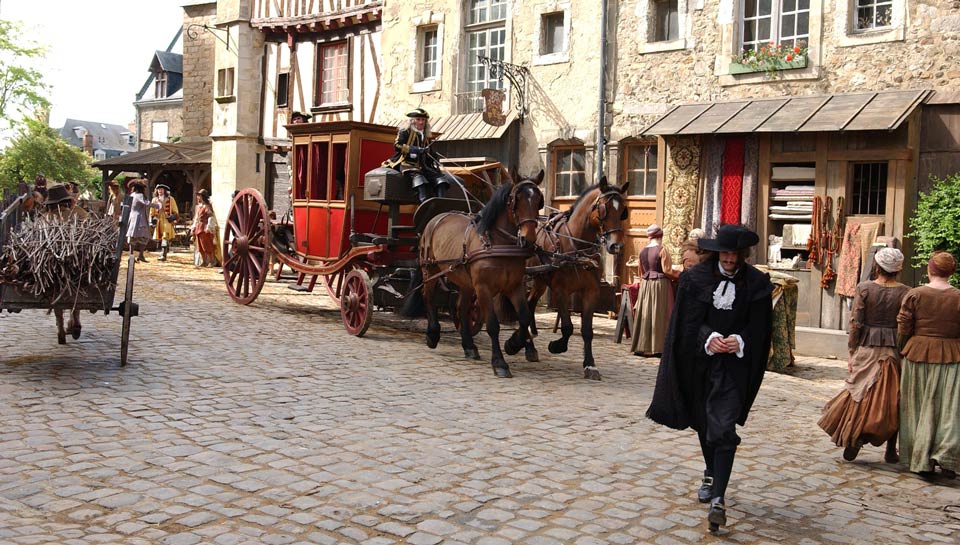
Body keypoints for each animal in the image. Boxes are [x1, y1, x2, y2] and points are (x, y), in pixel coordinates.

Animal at [418, 172, 544, 376]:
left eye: (539, 200)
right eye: (515, 200)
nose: (529, 239)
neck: (497, 244)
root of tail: (438, 216)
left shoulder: (515, 285)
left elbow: (524, 316)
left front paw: (513, 344)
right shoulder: (483, 288)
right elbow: (493, 325)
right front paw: (499, 362)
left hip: (465, 281)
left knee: (461, 309)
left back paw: (469, 346)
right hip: (430, 269)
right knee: (428, 296)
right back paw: (433, 334)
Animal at [502, 176, 632, 380]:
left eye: (623, 211)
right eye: (604, 209)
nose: (616, 246)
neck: (577, 248)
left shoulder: (591, 291)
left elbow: (587, 330)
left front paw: (590, 365)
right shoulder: (560, 291)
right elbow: (568, 327)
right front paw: (556, 346)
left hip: (539, 281)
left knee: (529, 307)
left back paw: (528, 346)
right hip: (523, 280)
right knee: (523, 308)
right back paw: (519, 343)